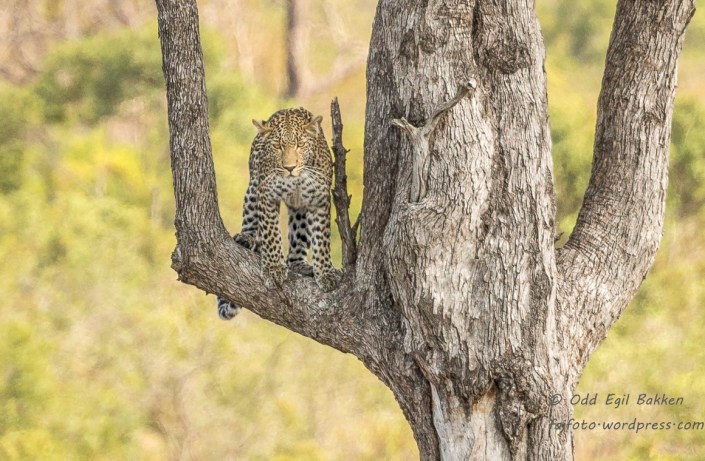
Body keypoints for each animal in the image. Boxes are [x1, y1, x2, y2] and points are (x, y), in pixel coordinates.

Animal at [218, 107, 341, 320]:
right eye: (277, 146)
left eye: (300, 145)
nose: (289, 168)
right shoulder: (267, 194)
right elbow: (271, 234)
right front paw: (273, 268)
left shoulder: (320, 199)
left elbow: (321, 240)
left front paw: (325, 273)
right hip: (253, 188)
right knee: (251, 220)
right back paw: (247, 238)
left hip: (300, 210)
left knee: (296, 245)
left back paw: (301, 265)